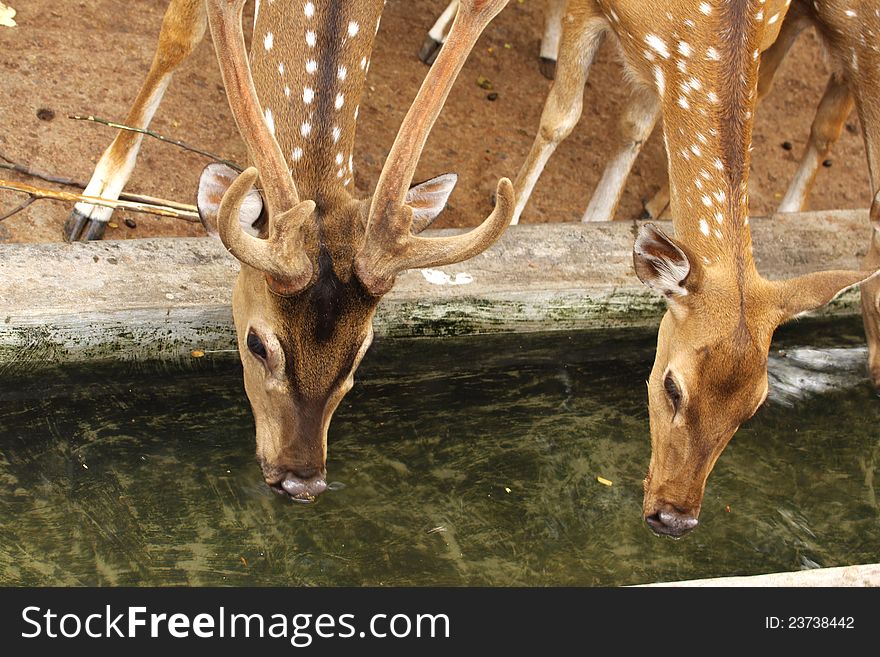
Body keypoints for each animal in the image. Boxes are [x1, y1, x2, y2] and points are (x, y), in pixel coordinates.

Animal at [508, 0, 880, 536]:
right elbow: (561, 118)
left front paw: (595, 220)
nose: (674, 517)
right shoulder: (591, 10)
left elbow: (635, 129)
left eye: (755, 406)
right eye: (671, 386)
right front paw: (509, 222)